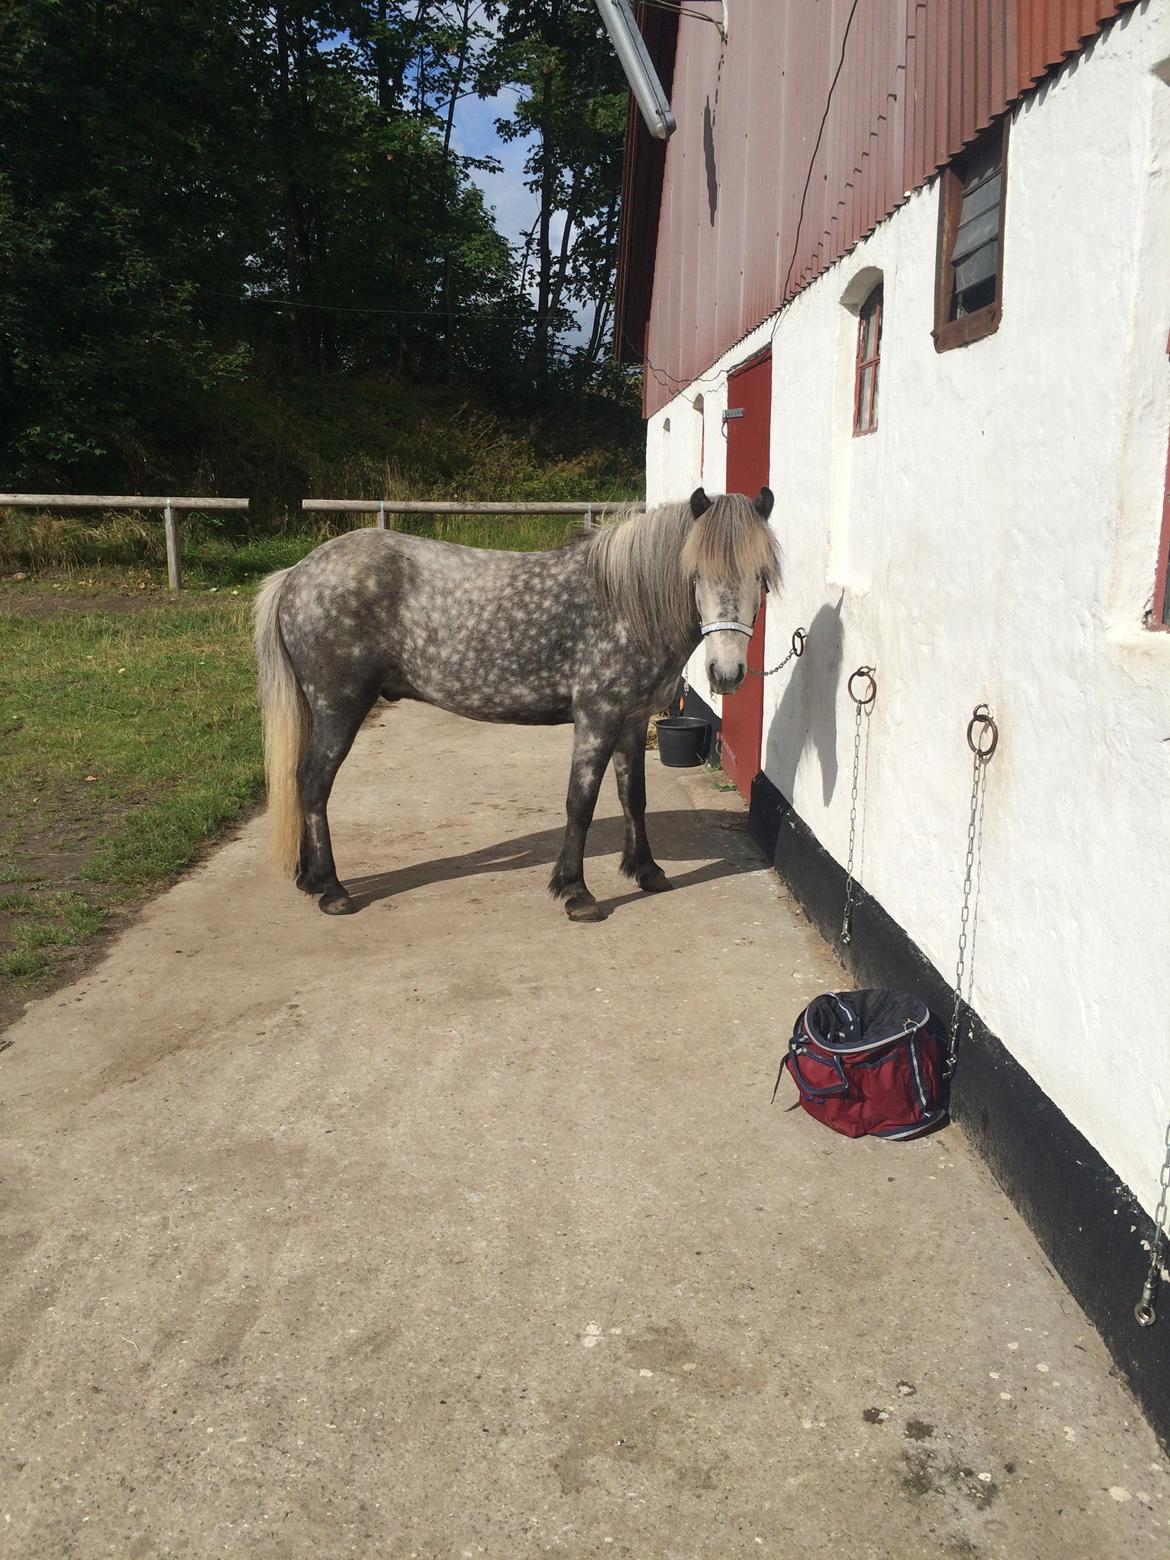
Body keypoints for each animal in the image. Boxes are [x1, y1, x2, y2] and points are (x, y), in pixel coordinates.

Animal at [260, 489, 783, 911]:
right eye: (696, 573)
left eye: (761, 576)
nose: (727, 673)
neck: (624, 603)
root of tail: (295, 574)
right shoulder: (596, 717)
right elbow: (580, 801)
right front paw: (575, 891)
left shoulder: (633, 722)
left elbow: (633, 796)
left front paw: (647, 871)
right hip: (339, 704)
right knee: (313, 781)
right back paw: (332, 890)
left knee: (303, 780)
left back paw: (311, 879)